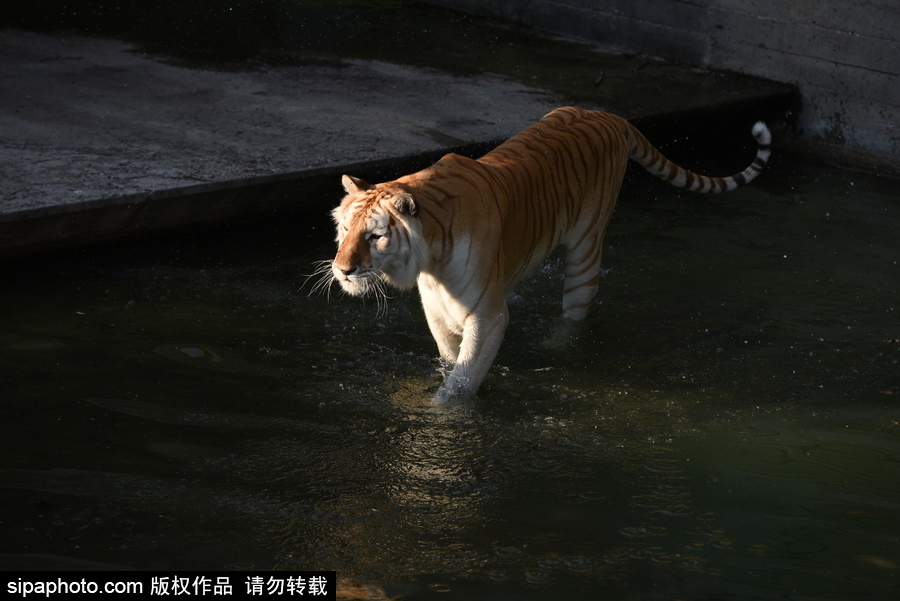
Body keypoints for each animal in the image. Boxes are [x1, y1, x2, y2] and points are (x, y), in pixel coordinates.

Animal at [320, 106, 768, 400]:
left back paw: (555, 346)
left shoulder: (487, 315)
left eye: (375, 236)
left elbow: (462, 380)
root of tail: (608, 114)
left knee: (575, 311)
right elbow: (449, 359)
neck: (429, 258)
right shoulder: (438, 312)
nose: (342, 270)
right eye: (344, 229)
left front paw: (443, 411)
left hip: (585, 250)